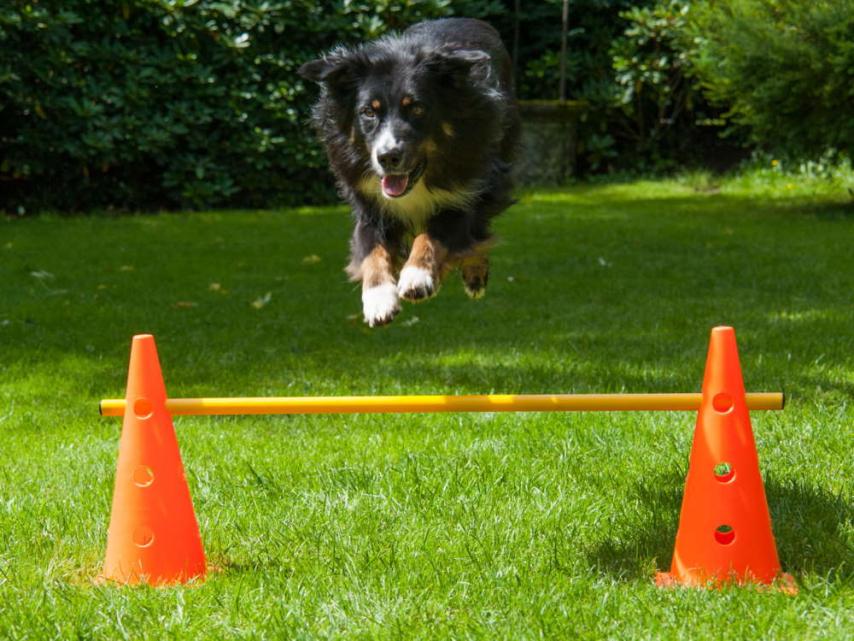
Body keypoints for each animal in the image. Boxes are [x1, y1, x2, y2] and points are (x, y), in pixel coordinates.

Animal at [300, 17, 520, 328]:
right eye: (368, 112)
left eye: (416, 108)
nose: (387, 157)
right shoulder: (369, 202)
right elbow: (371, 248)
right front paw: (379, 299)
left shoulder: (470, 184)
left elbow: (437, 230)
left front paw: (418, 276)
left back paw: (474, 275)